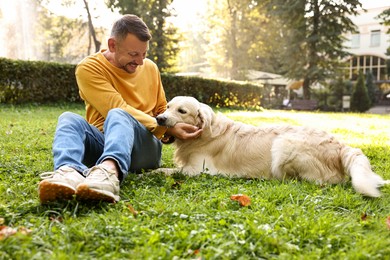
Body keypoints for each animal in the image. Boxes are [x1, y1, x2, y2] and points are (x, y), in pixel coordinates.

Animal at [156, 96, 390, 197]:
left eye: (182, 111)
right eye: (167, 106)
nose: (159, 118)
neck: (204, 133)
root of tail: (341, 145)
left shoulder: (197, 170)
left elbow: (165, 170)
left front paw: (151, 172)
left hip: (283, 143)